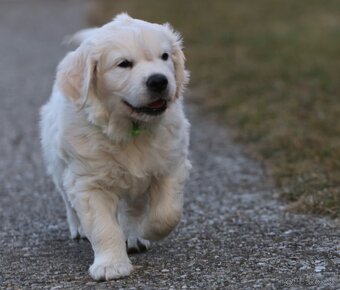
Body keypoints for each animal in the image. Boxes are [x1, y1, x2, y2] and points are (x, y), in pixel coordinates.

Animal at [39, 13, 191, 280]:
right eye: (124, 64)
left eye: (164, 56)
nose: (159, 81)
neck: (130, 129)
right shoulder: (88, 183)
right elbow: (103, 227)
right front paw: (111, 266)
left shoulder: (171, 164)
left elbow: (167, 213)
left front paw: (144, 230)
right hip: (58, 164)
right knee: (68, 202)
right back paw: (78, 227)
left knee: (132, 208)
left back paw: (133, 235)